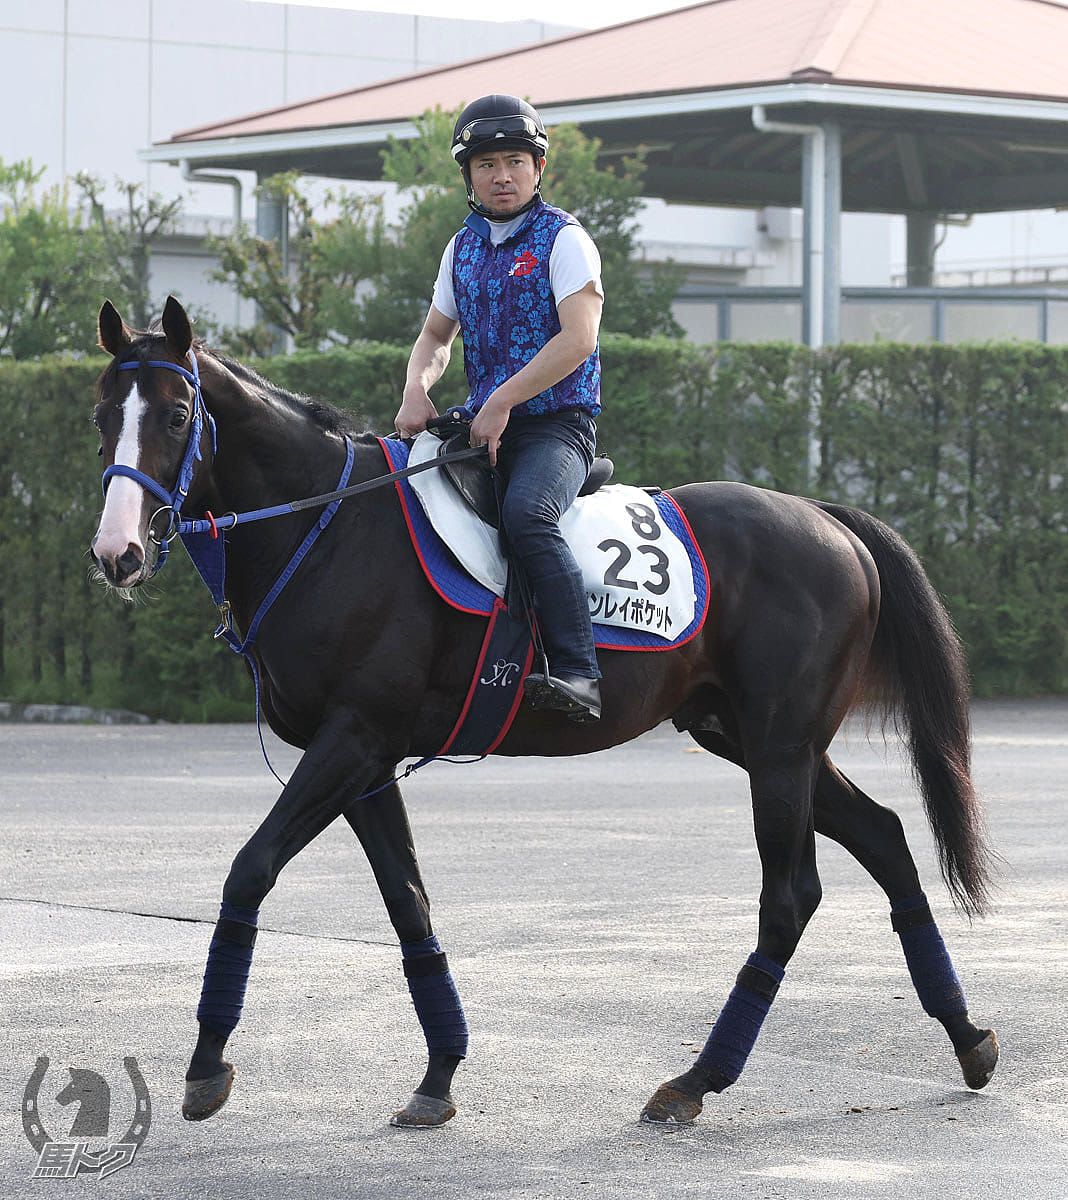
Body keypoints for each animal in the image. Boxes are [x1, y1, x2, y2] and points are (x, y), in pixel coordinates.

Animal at [87, 295, 993, 1128]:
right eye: (100, 416)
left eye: (175, 415)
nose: (115, 554)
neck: (328, 524)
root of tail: (828, 520)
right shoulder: (367, 763)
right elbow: (408, 902)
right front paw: (440, 1071)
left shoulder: (352, 742)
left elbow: (251, 870)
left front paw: (207, 1063)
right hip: (754, 739)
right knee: (885, 838)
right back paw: (967, 1037)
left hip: (776, 751)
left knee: (790, 898)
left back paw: (698, 1078)